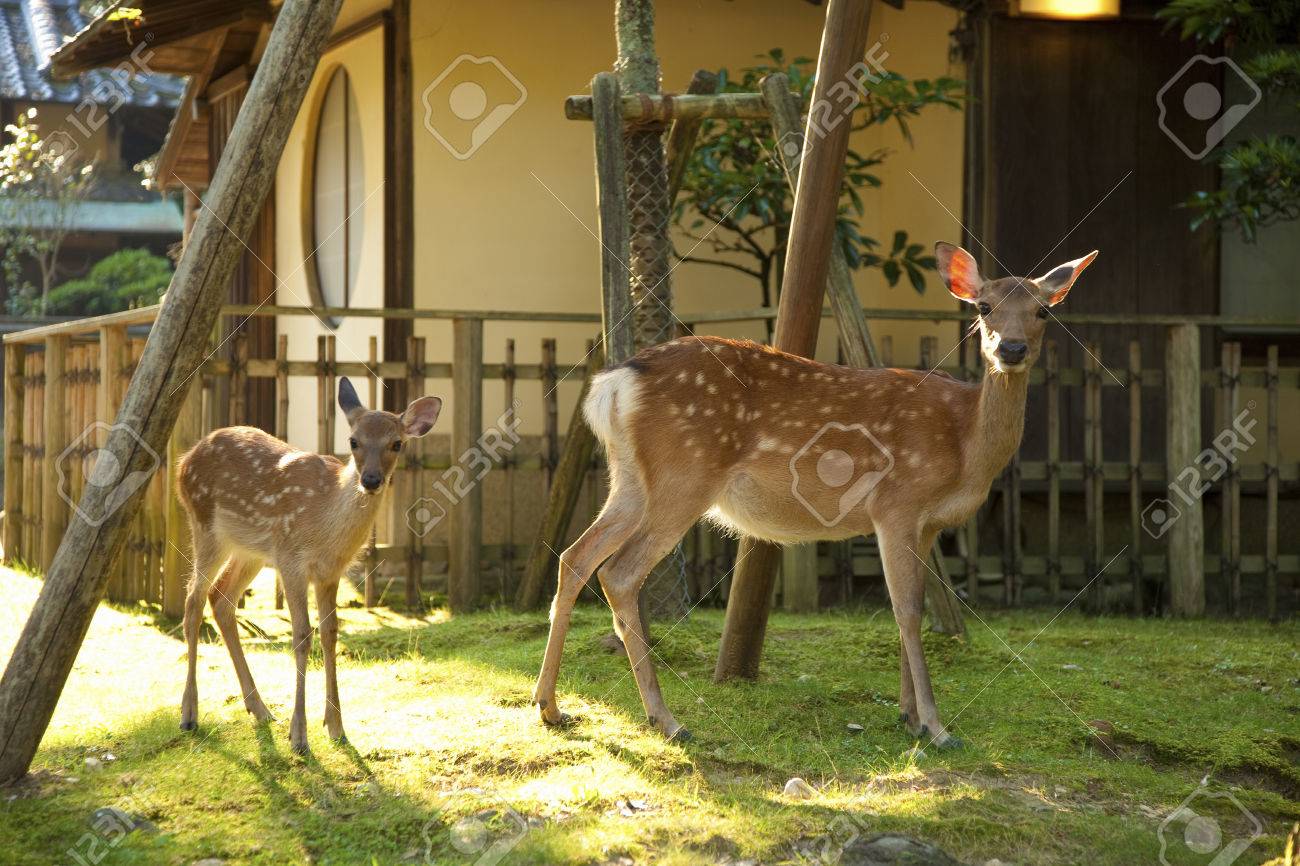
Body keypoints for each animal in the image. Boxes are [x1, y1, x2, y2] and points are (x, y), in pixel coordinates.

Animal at [176, 377, 442, 753]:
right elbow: (302, 635)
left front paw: (336, 727)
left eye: (397, 443)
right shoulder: (291, 560)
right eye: (353, 441)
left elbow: (331, 633)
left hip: (251, 551)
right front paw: (299, 736)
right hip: (205, 525)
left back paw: (259, 708)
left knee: (221, 598)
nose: (371, 480)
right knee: (193, 601)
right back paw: (189, 713)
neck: (325, 526)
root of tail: (184, 460)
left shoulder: (330, 572)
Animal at [533, 242, 1097, 747]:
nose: (1011, 349)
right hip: (683, 476)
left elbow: (910, 606)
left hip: (631, 480)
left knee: (575, 556)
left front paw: (909, 717)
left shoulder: (928, 523)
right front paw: (937, 728)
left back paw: (550, 706)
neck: (965, 444)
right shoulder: (896, 504)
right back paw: (667, 720)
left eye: (1044, 310)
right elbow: (907, 610)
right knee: (619, 572)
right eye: (983, 307)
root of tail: (614, 384)